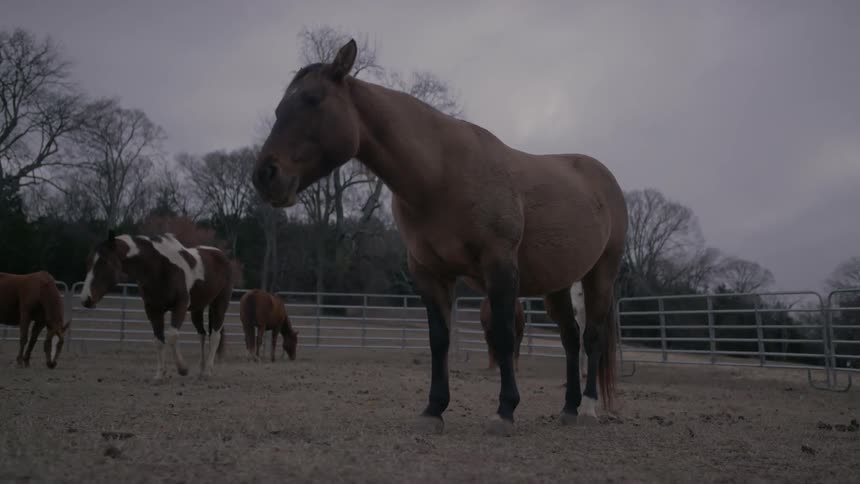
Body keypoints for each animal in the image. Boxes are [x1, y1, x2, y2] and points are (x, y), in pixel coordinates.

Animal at [79, 231, 234, 380]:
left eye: (105, 262)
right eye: (87, 262)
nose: (86, 299)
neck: (159, 267)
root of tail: (221, 255)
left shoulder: (180, 306)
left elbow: (172, 336)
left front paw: (183, 369)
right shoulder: (153, 310)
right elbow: (159, 340)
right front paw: (160, 374)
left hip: (219, 304)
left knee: (215, 336)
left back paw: (207, 371)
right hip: (197, 308)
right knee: (202, 334)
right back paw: (201, 370)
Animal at [252, 39, 628, 435]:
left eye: (313, 99)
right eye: (279, 108)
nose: (265, 175)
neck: (441, 174)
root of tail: (603, 178)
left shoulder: (499, 265)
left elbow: (504, 336)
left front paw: (505, 410)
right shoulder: (429, 272)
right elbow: (439, 340)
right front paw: (434, 409)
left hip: (601, 274)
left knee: (592, 336)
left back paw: (588, 408)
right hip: (557, 284)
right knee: (570, 337)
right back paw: (569, 407)